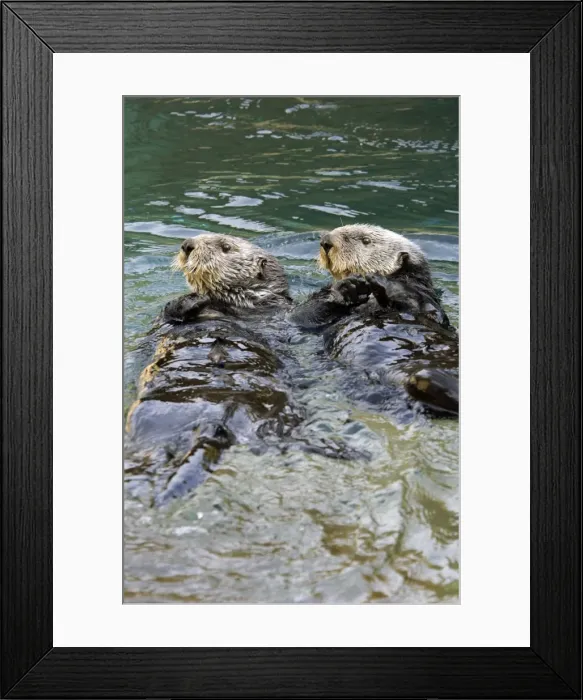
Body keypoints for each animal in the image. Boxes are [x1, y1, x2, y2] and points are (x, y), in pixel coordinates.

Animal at [125, 233, 360, 507]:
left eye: (225, 247)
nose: (187, 245)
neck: (237, 306)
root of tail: (216, 422)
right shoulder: (164, 317)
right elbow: (173, 309)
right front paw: (196, 298)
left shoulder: (283, 315)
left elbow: (306, 317)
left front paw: (342, 291)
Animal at [291, 224, 459, 416]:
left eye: (366, 241)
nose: (326, 241)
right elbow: (301, 316)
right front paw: (347, 287)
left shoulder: (427, 300)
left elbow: (432, 313)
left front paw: (380, 279)